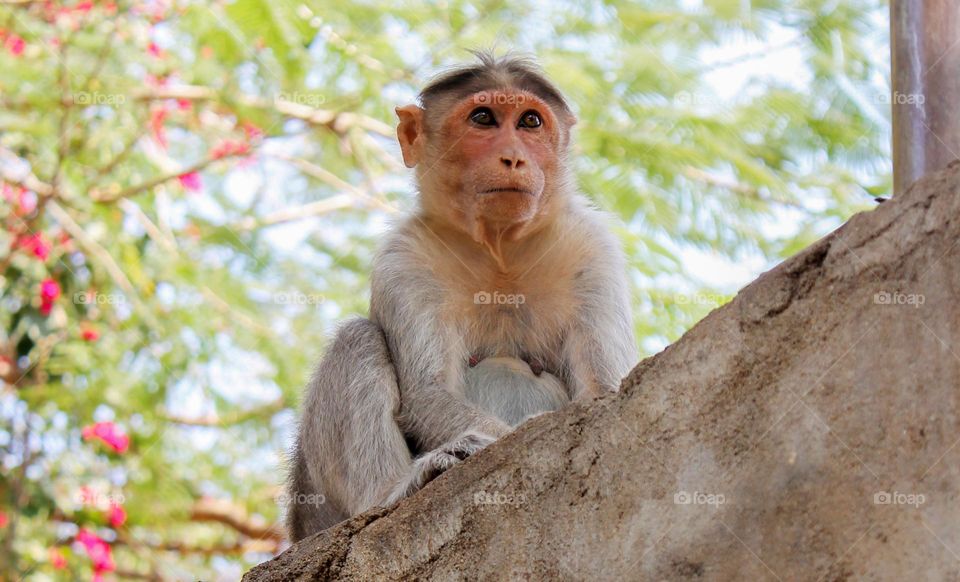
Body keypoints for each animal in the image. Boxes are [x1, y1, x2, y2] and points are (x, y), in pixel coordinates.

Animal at [285, 51, 637, 541]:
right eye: (483, 118)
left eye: (530, 121)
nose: (513, 158)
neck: (499, 249)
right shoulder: (404, 260)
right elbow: (427, 392)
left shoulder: (592, 248)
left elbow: (603, 390)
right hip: (317, 508)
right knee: (357, 338)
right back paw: (392, 492)